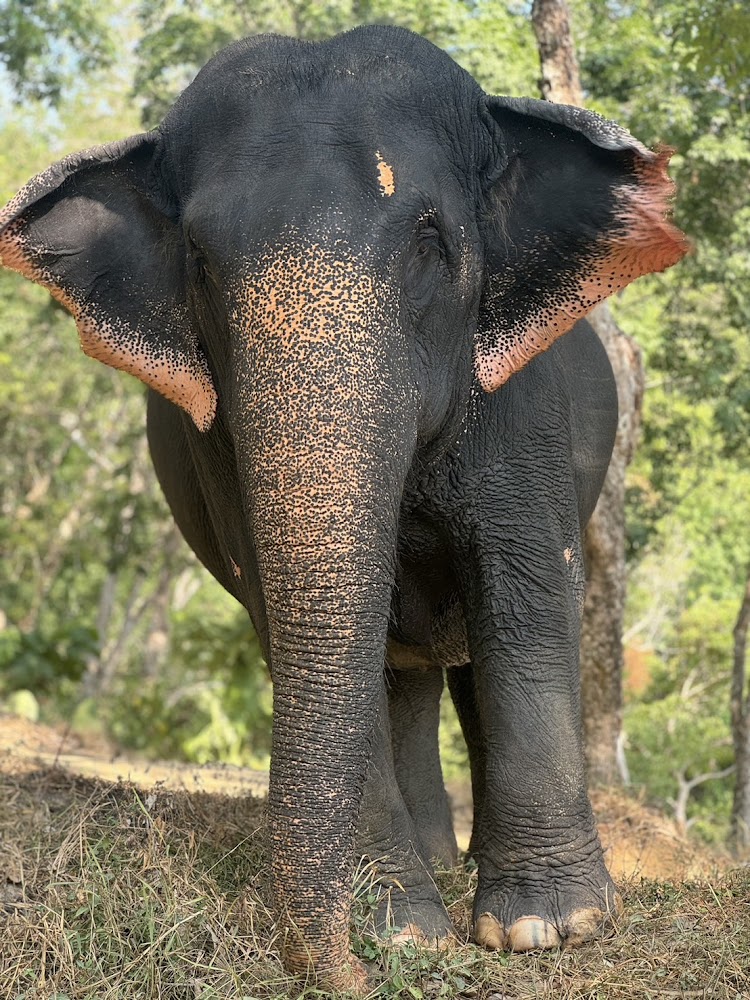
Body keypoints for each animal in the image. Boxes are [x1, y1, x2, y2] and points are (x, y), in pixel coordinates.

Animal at [0, 25, 687, 992]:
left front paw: (549, 928)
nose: (343, 970)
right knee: (402, 674)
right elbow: (288, 614)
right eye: (199, 264)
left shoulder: (523, 403)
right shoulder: (218, 445)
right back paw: (432, 869)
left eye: (431, 240)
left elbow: (522, 594)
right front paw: (403, 933)